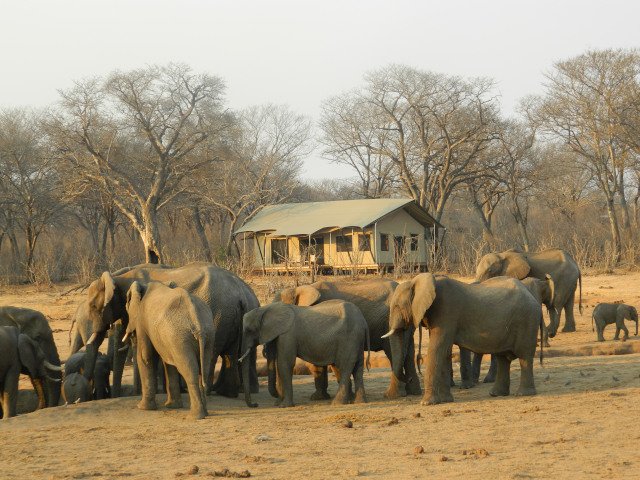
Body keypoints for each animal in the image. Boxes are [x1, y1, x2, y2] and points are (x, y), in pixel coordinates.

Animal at [84, 262, 258, 398]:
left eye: (93, 306)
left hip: (219, 315)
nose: (90, 393)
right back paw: (229, 393)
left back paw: (208, 392)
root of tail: (242, 294)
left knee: (213, 352)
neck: (117, 277)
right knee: (231, 353)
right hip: (231, 316)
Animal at [124, 282, 215, 420]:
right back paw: (204, 413)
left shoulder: (142, 320)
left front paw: (143, 408)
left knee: (189, 371)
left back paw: (194, 416)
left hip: (180, 337)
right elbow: (168, 363)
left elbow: (145, 356)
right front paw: (172, 406)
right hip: (206, 335)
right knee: (203, 368)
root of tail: (196, 319)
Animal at [240, 302, 370, 406]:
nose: (255, 404)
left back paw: (337, 404)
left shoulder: (288, 335)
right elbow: (279, 364)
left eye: (249, 330)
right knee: (358, 368)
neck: (266, 308)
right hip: (357, 340)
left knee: (345, 367)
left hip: (349, 338)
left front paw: (285, 406)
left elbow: (284, 364)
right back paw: (359, 402)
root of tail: (364, 322)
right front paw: (279, 403)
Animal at [276, 278, 420, 398]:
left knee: (394, 353)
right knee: (408, 354)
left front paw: (321, 398)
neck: (300, 289)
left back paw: (396, 394)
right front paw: (322, 398)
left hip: (391, 320)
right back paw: (413, 392)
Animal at [384, 274, 540, 404]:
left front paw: (426, 403)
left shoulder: (446, 311)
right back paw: (496, 394)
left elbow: (437, 349)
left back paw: (523, 394)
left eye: (397, 306)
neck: (418, 281)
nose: (409, 378)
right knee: (503, 358)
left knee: (524, 356)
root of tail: (530, 294)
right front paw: (446, 400)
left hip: (527, 320)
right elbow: (445, 352)